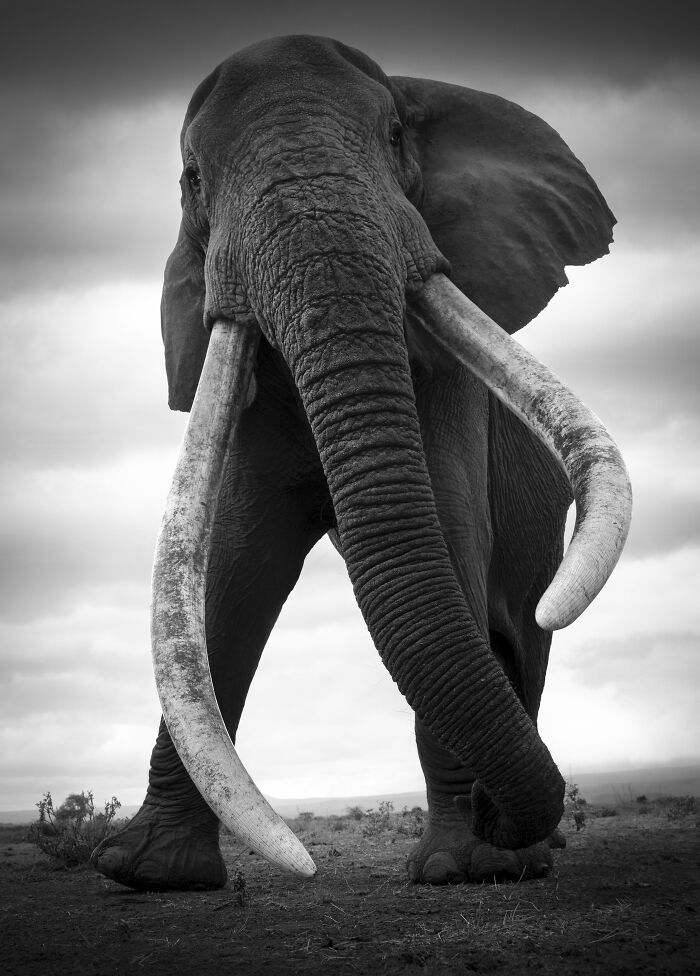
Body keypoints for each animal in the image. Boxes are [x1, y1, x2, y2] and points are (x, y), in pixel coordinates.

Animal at [91, 35, 631, 891]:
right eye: (192, 179)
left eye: (395, 136)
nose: (494, 820)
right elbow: (230, 571)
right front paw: (145, 873)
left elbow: (446, 531)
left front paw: (456, 869)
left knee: (526, 643)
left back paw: (518, 856)